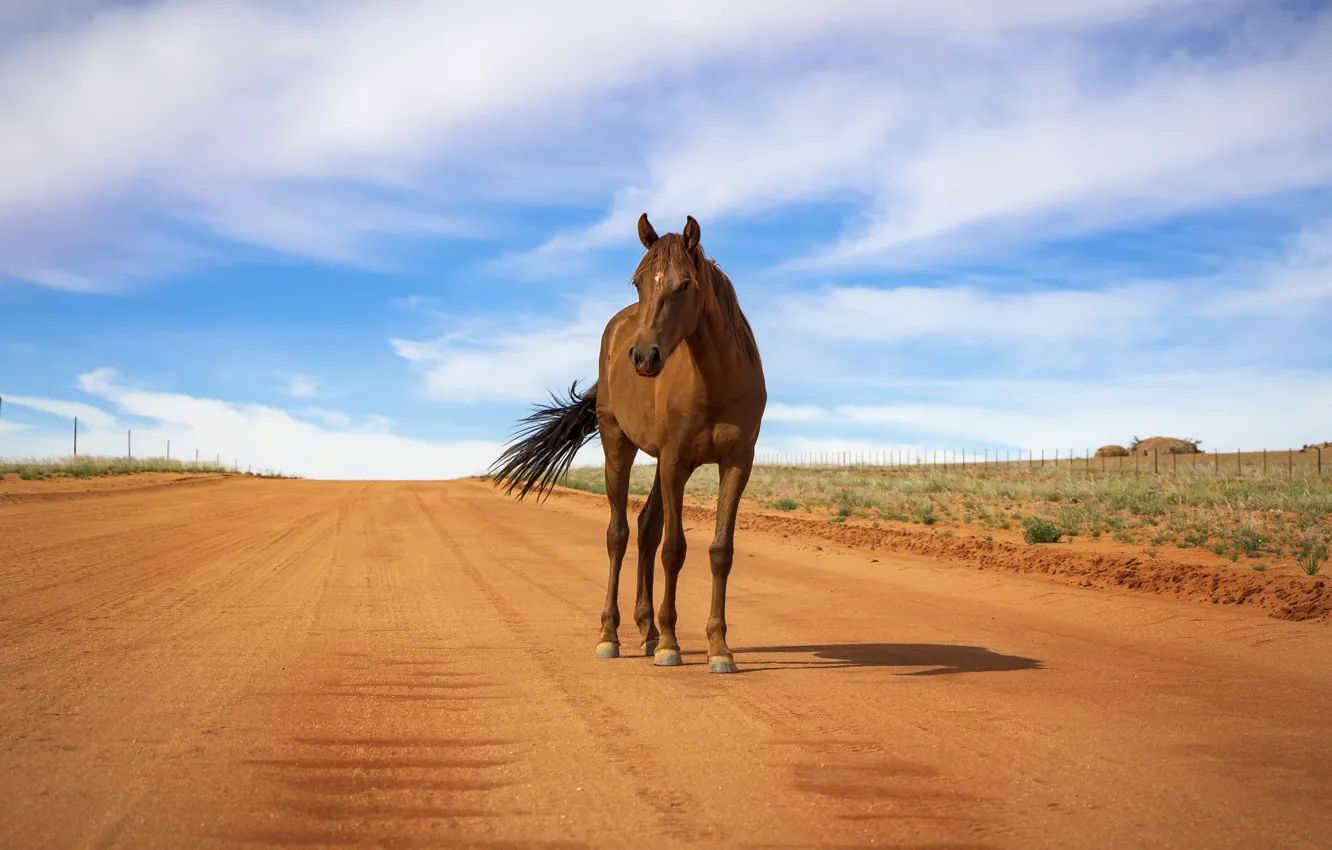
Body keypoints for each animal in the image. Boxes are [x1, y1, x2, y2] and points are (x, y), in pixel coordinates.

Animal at [490, 213, 766, 674]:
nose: (643, 357)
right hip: (619, 445)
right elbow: (674, 549)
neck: (717, 382)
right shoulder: (674, 461)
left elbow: (719, 551)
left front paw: (718, 648)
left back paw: (647, 630)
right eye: (638, 282)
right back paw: (611, 635)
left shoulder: (736, 462)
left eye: (685, 284)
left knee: (646, 527)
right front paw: (672, 645)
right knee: (618, 534)